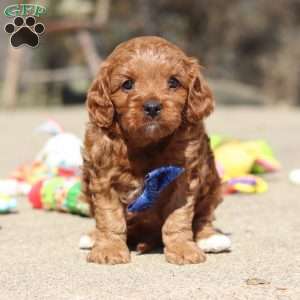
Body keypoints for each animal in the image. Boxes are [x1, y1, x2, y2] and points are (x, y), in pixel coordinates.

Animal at [81, 35, 231, 264]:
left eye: (173, 82)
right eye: (127, 84)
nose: (152, 107)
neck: (147, 143)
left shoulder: (184, 177)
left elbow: (178, 218)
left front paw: (182, 248)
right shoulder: (103, 177)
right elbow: (109, 217)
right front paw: (109, 249)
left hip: (212, 184)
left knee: (203, 217)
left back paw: (210, 238)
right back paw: (92, 236)